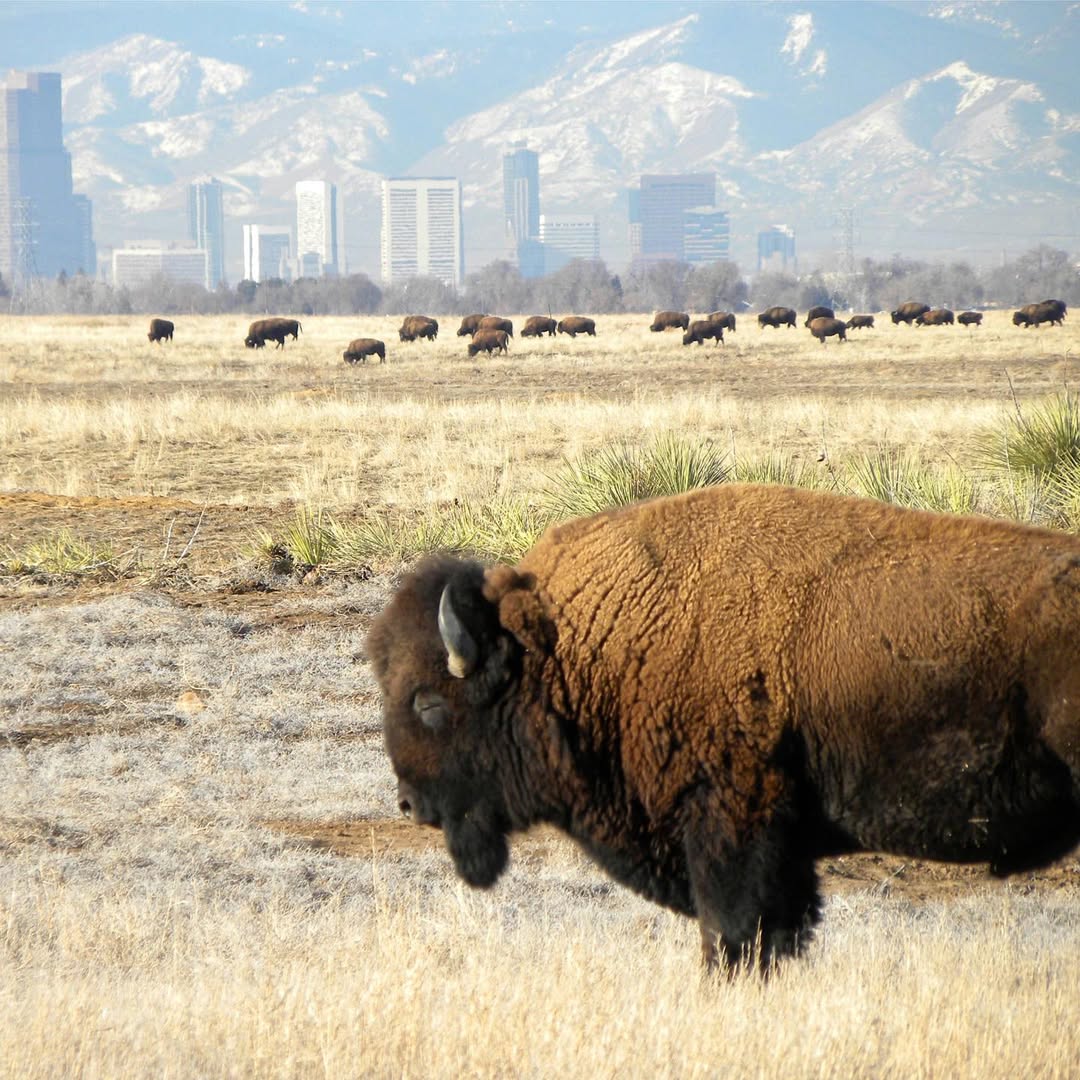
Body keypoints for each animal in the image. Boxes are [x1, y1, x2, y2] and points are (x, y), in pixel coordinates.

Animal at [365, 486, 1080, 976]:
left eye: (428, 702)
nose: (408, 803)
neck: (575, 646)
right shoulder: (781, 859)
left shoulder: (733, 830)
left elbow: (730, 938)